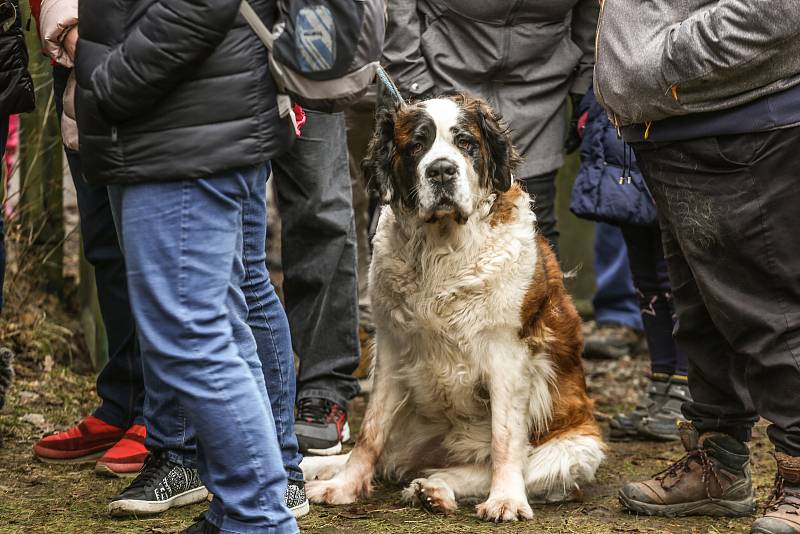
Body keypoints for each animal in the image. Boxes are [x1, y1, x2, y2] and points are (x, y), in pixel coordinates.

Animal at [304, 95, 604, 524]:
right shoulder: (392, 348)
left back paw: (435, 489)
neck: (442, 247)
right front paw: (344, 486)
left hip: (573, 450)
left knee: (501, 464)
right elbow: (371, 431)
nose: (442, 170)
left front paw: (506, 500)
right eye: (417, 145)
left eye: (466, 143)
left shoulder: (508, 355)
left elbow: (504, 439)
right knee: (390, 455)